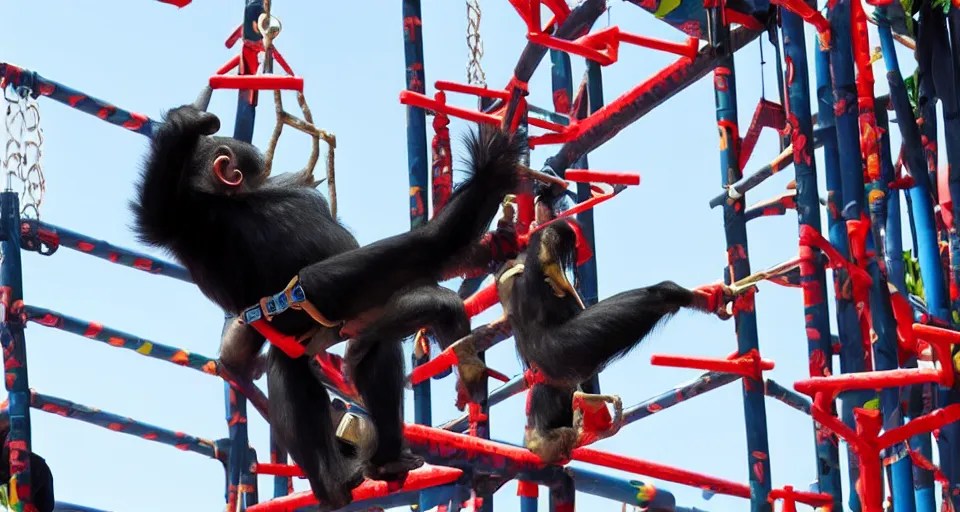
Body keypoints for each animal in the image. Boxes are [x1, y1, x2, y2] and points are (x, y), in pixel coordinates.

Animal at [130, 104, 521, 509]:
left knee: (303, 364)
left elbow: (158, 214)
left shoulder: (187, 219)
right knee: (410, 269)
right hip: (325, 289)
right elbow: (158, 209)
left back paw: (341, 476)